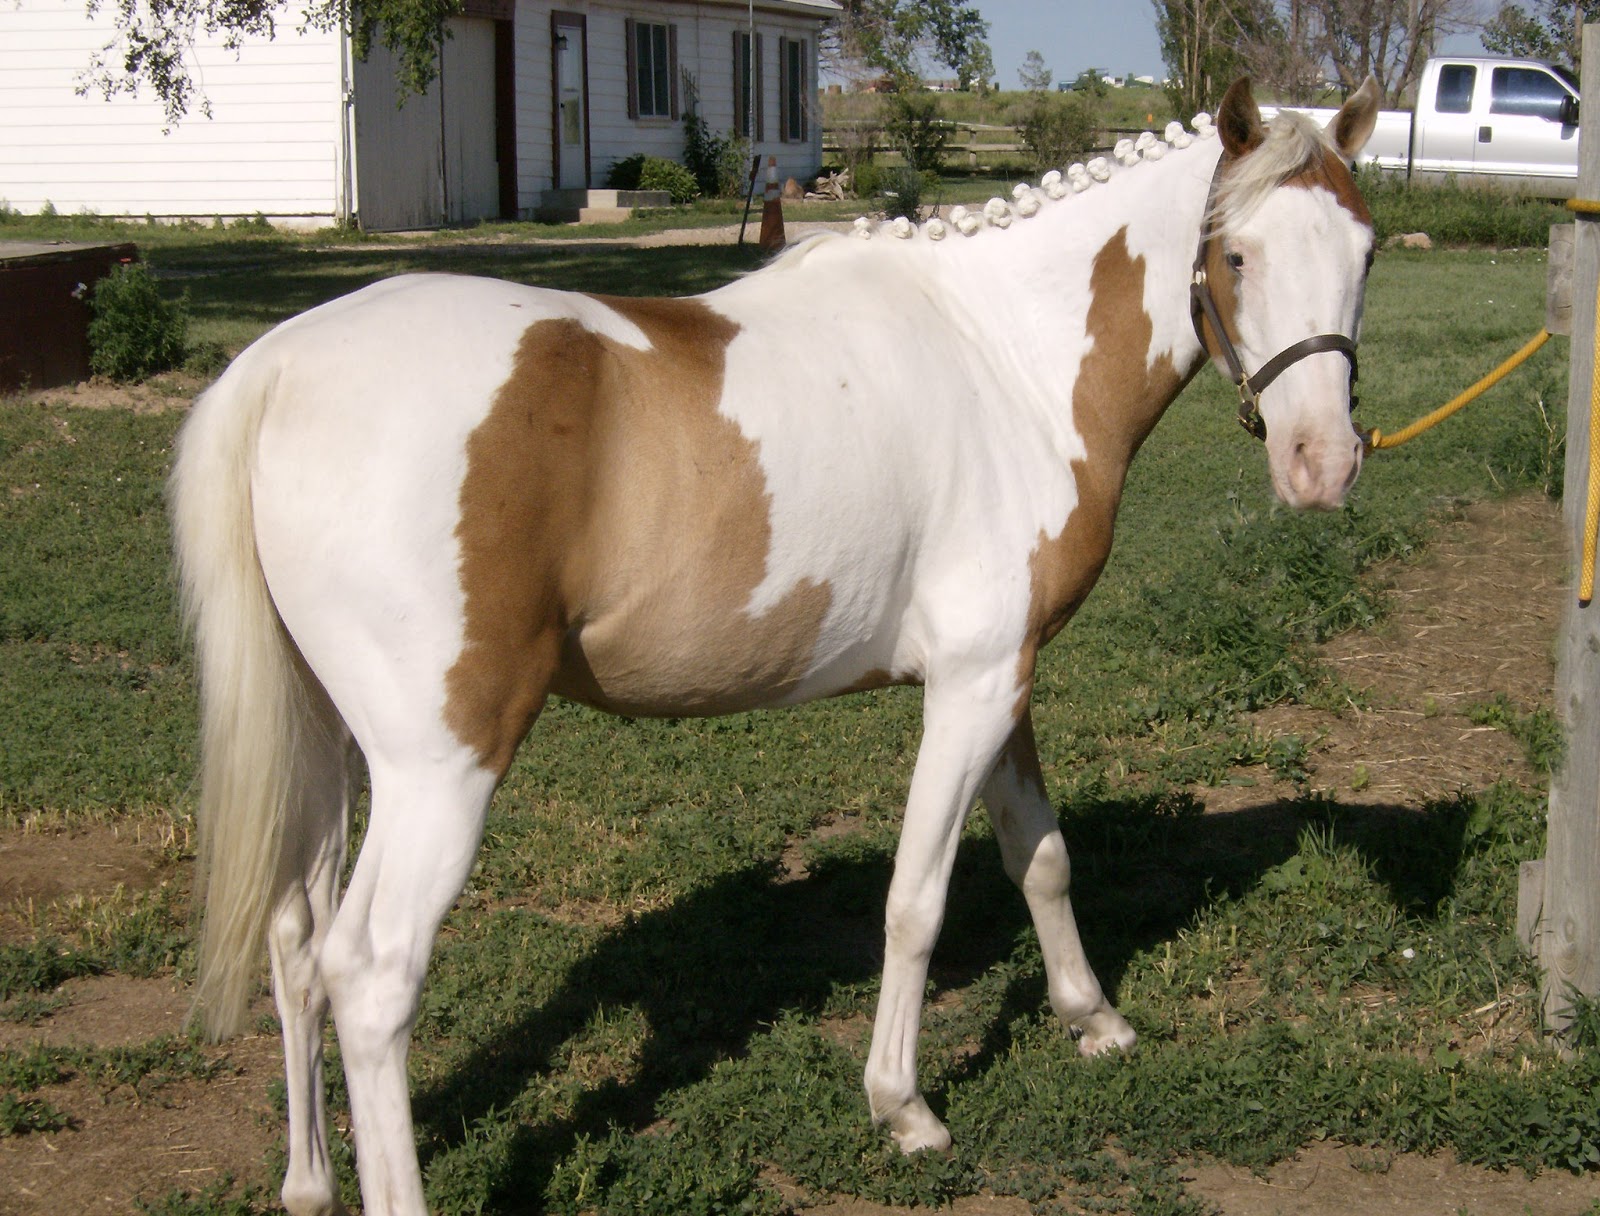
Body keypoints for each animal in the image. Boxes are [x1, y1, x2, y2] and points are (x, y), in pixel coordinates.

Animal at [170, 77, 1380, 1216]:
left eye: (1364, 251)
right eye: (1236, 252)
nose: (1322, 465)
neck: (1002, 360)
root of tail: (276, 369)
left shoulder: (1006, 679)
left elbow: (1038, 852)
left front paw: (1092, 1018)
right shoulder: (970, 686)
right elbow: (917, 899)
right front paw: (903, 1107)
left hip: (326, 743)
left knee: (293, 942)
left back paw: (309, 1182)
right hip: (438, 767)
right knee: (371, 975)